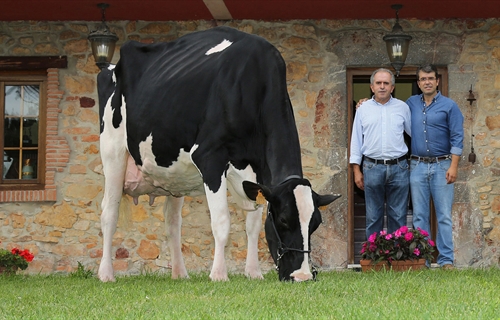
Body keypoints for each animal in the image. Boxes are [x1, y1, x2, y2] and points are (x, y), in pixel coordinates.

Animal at [97, 27, 340, 282]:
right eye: (284, 220)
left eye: (316, 223)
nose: (303, 276)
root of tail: (111, 66)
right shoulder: (210, 158)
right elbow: (222, 221)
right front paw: (219, 274)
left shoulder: (259, 175)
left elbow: (253, 224)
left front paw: (253, 273)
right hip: (112, 150)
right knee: (109, 212)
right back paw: (106, 274)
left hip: (174, 176)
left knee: (172, 223)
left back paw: (180, 274)